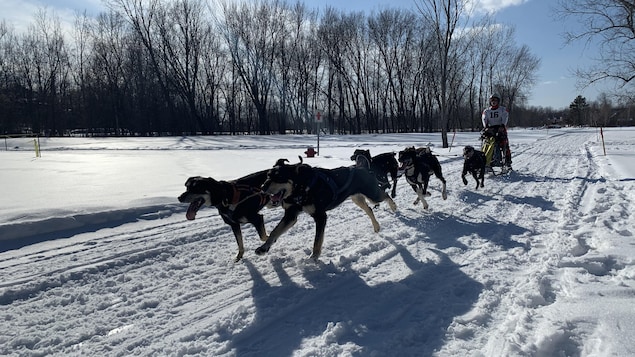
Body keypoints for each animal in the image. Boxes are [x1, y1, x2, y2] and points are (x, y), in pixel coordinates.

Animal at [255, 157, 396, 260]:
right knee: (369, 210)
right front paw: (263, 248)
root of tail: (362, 168)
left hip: (373, 196)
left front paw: (314, 257)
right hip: (357, 199)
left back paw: (393, 206)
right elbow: (275, 232)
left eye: (279, 177)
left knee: (386, 195)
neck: (302, 187)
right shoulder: (291, 215)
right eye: (268, 176)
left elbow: (317, 240)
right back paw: (376, 226)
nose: (262, 187)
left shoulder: (320, 216)